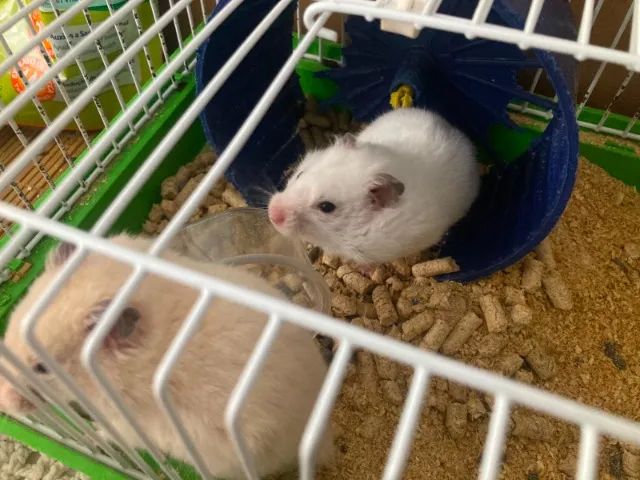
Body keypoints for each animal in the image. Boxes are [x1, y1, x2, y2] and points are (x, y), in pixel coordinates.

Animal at [0, 235, 334, 479]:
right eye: (12, 330)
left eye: (41, 367)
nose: (5, 403)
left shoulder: (125, 421)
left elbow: (110, 433)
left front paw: (95, 434)